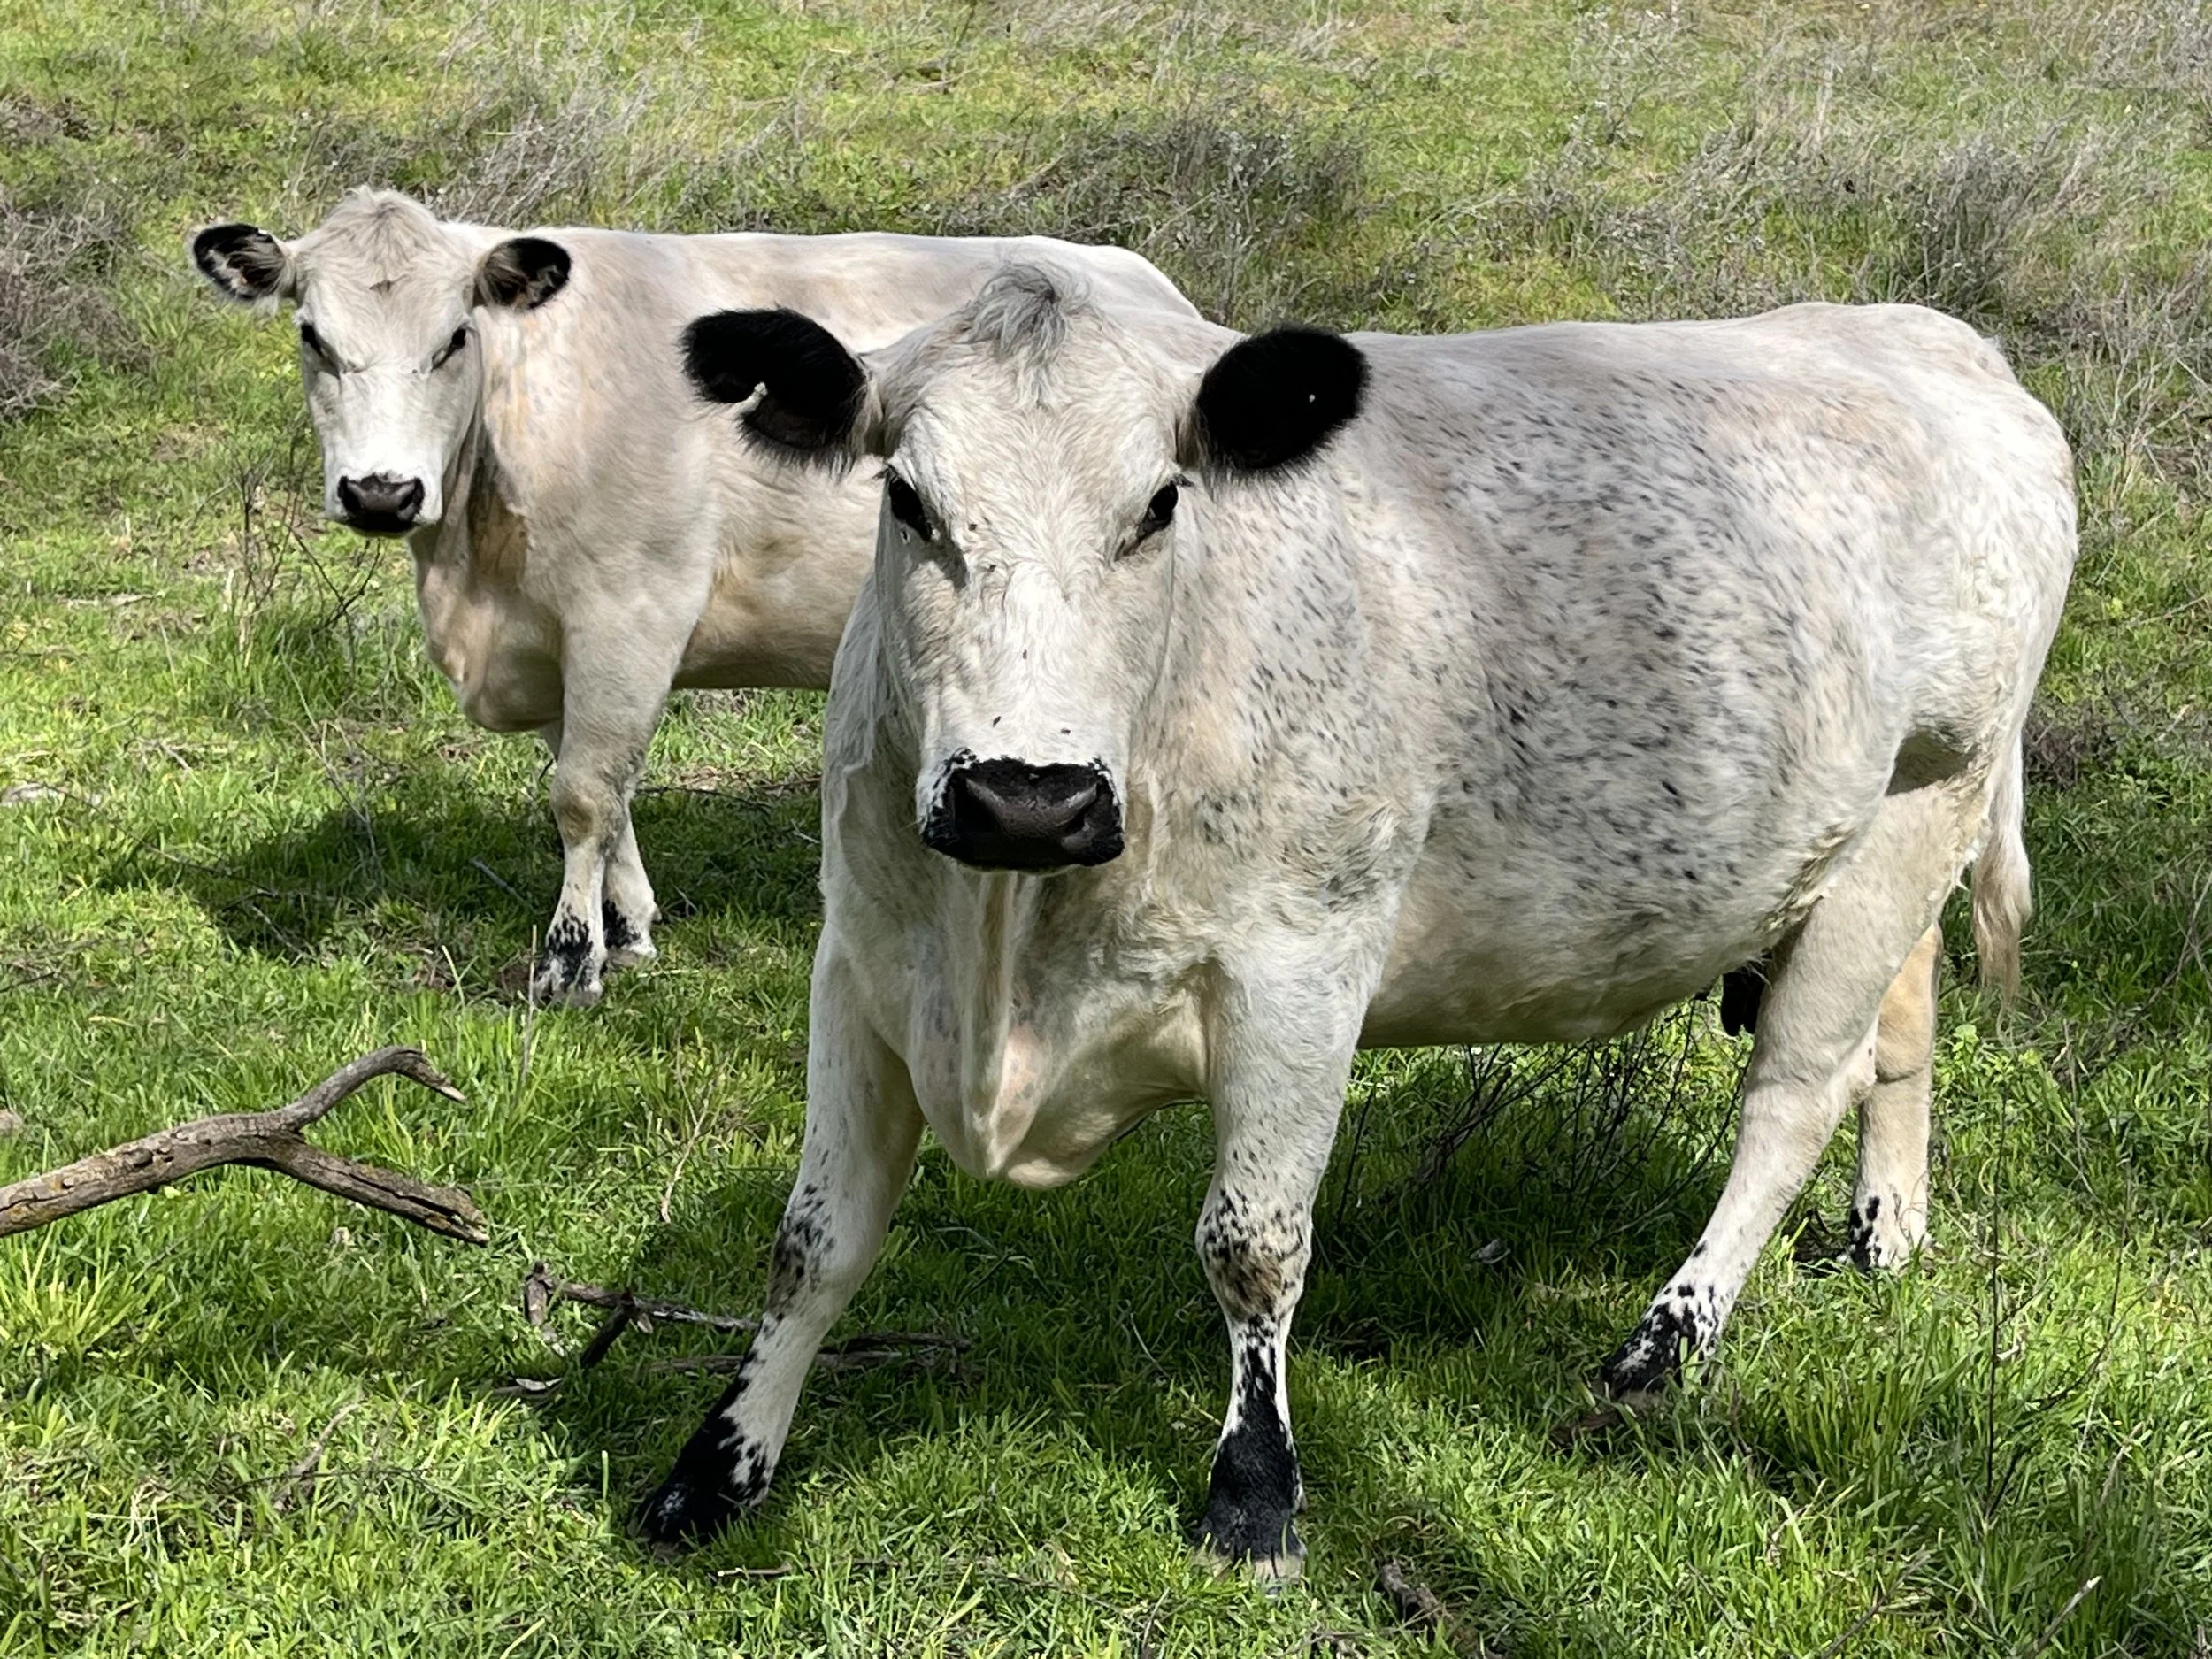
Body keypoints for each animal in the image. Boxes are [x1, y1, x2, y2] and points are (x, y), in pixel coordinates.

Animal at [189, 191, 1197, 1004]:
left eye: (454, 339)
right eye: (313, 337)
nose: (381, 493)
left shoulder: (628, 612)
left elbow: (582, 795)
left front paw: (570, 963)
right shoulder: (552, 641)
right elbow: (606, 790)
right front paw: (629, 928)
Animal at [637, 267, 2075, 1577]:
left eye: (1159, 504)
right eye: (907, 500)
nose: (1025, 797)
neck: (1009, 950)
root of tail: (1937, 342)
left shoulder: (1301, 967)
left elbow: (1252, 1243)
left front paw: (1254, 1494)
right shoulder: (863, 959)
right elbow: (815, 1239)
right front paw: (716, 1464)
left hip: (1920, 805)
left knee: (1794, 1091)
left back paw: (1664, 1345)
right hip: (1871, 847)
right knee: (1900, 1039)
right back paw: (1886, 1235)